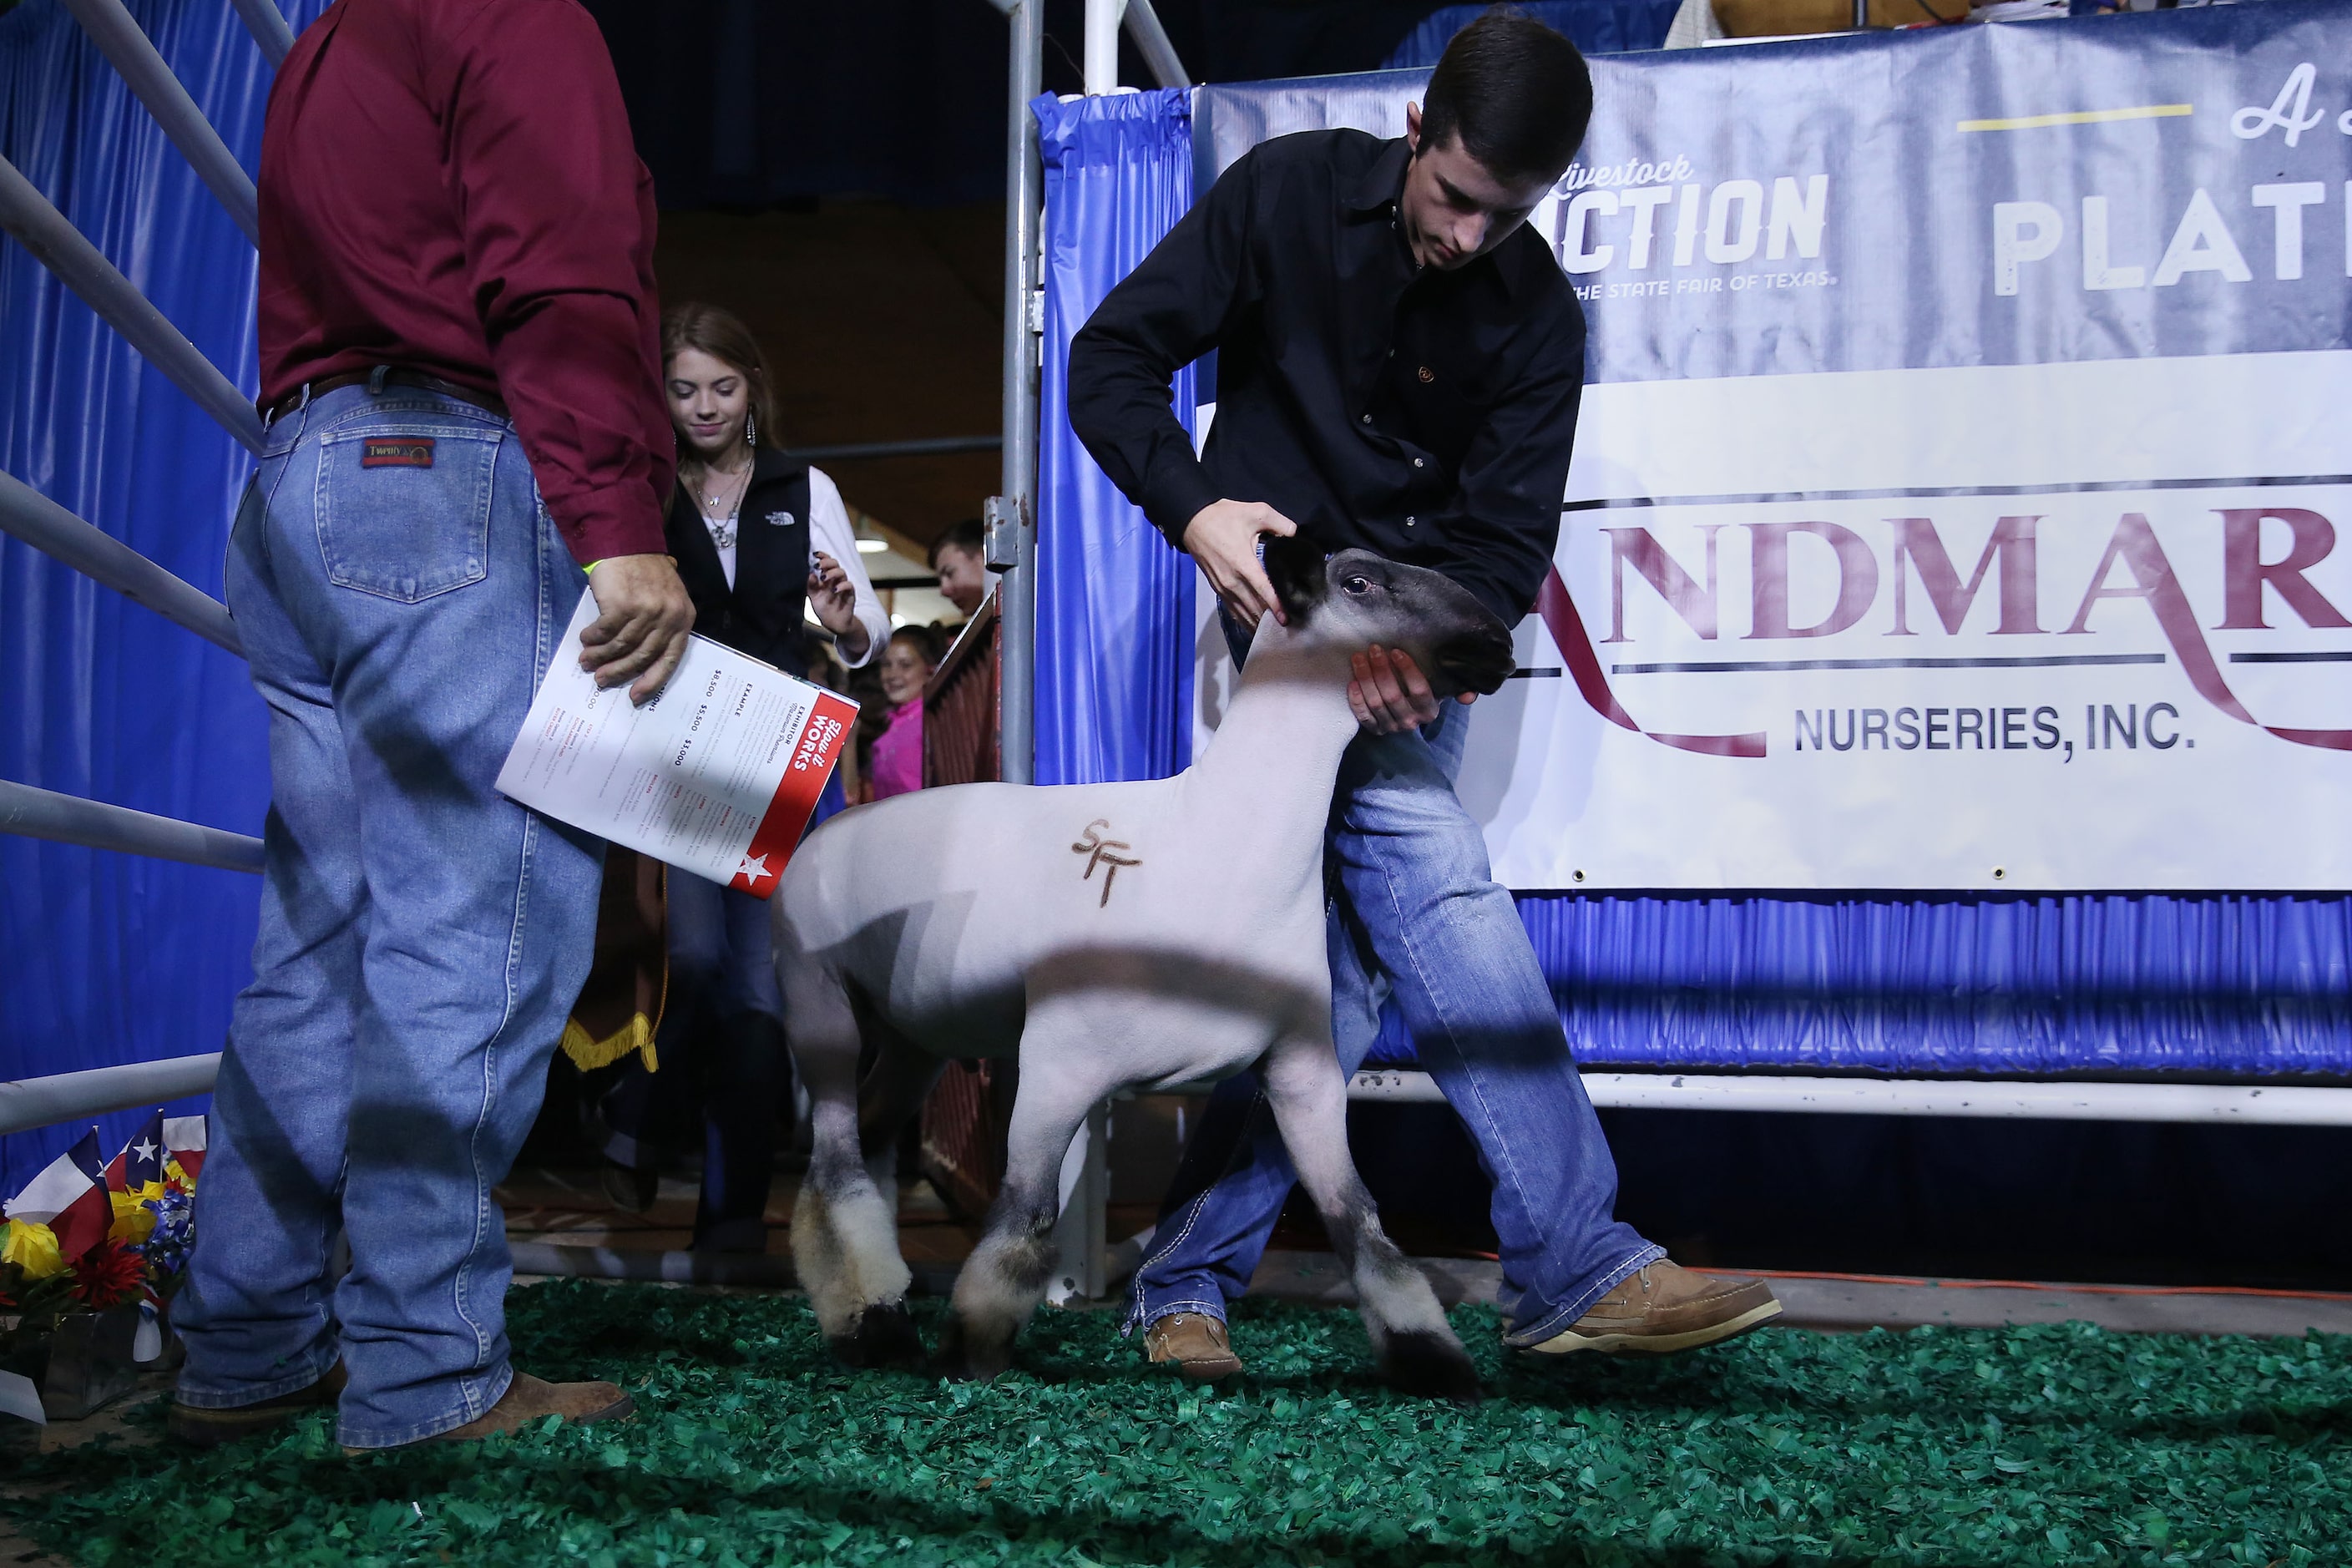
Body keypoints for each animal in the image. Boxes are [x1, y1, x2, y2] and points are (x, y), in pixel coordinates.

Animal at [771, 540, 1505, 1401]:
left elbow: (1361, 1223)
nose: (1498, 642)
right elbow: (1024, 1222)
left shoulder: (1304, 1072)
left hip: (916, 1033)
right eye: (1357, 582)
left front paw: (1430, 1356)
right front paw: (970, 1349)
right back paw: (867, 1326)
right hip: (819, 1003)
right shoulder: (1057, 1066)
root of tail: (825, 829)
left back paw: (882, 1306)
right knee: (834, 1169)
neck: (1221, 838)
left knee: (876, 1137)